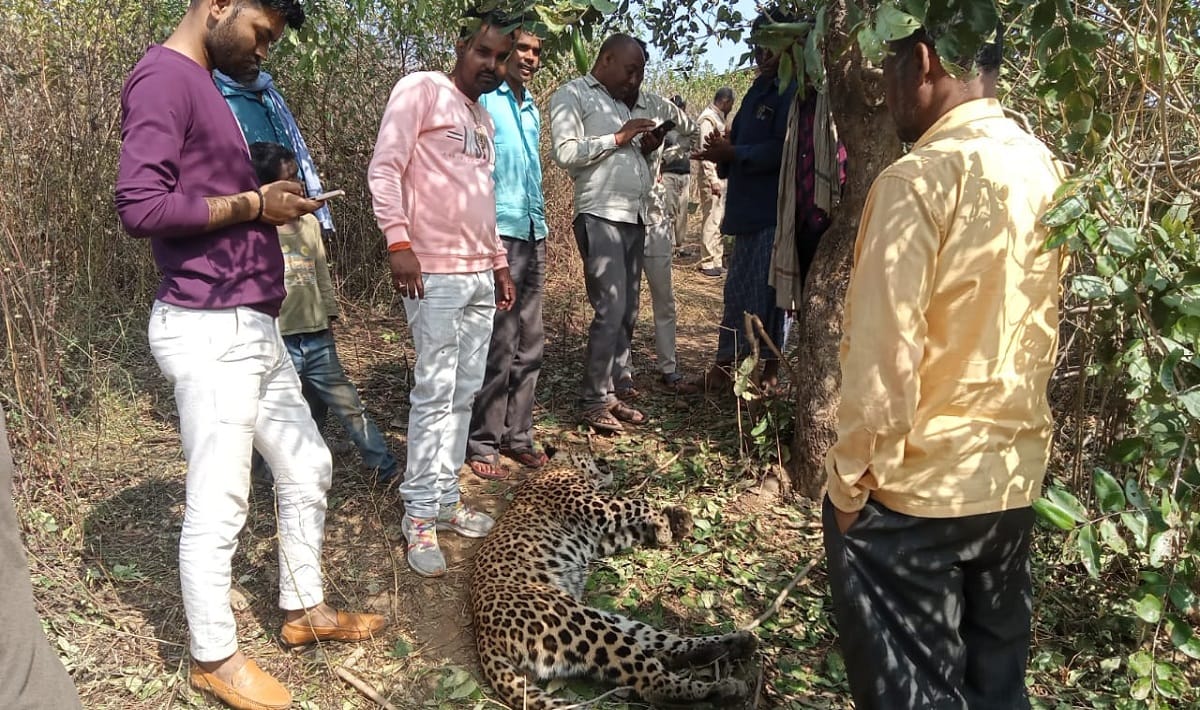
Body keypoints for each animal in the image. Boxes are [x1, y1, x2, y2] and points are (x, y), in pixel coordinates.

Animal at [470, 450, 757, 709]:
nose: (604, 458)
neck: (558, 465)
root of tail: (485, 637)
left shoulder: (599, 536)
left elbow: (635, 528)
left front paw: (676, 521)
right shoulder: (595, 507)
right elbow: (639, 503)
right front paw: (666, 528)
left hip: (605, 620)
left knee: (662, 647)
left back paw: (733, 644)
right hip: (578, 623)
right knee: (651, 682)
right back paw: (722, 690)